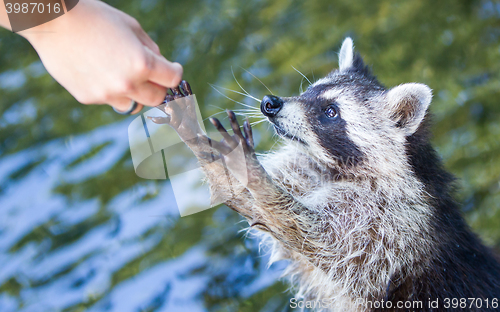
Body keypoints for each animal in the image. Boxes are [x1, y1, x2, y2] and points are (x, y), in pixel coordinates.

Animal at [151, 37, 500, 310]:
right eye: (309, 90)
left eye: (331, 112)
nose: (270, 103)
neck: (337, 169)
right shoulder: (313, 171)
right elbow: (257, 210)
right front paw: (204, 144)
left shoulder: (391, 224)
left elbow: (320, 239)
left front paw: (257, 177)